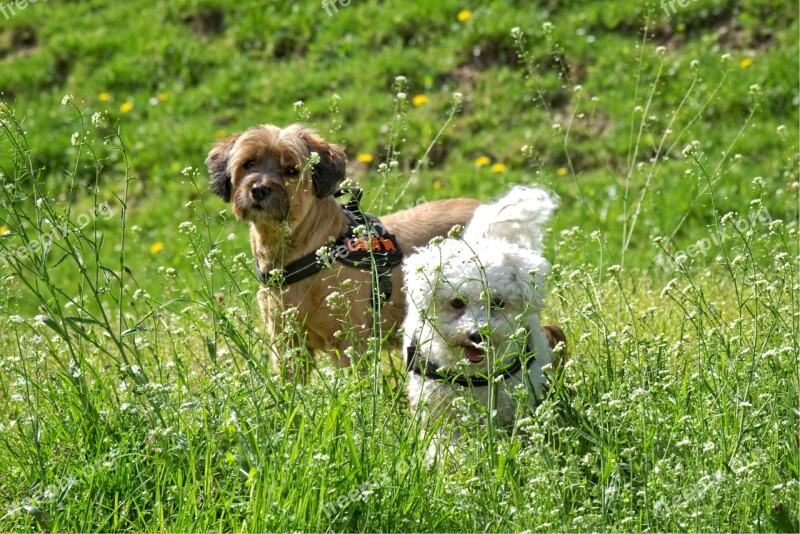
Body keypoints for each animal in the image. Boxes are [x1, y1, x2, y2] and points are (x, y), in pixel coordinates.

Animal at [404, 186, 564, 450]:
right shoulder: (439, 409)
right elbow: (444, 441)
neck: (476, 375)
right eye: (457, 302)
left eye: (498, 302)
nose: (476, 335)